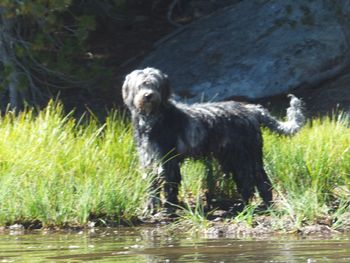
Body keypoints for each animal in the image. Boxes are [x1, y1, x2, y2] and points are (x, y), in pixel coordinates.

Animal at [121, 67, 304, 213]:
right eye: (140, 85)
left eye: (154, 84)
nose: (148, 96)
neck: (154, 118)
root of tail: (252, 110)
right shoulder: (149, 160)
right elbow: (152, 185)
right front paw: (150, 207)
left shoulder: (168, 161)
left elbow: (169, 185)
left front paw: (168, 208)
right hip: (235, 158)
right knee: (255, 180)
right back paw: (253, 204)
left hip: (244, 156)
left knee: (254, 180)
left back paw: (253, 205)